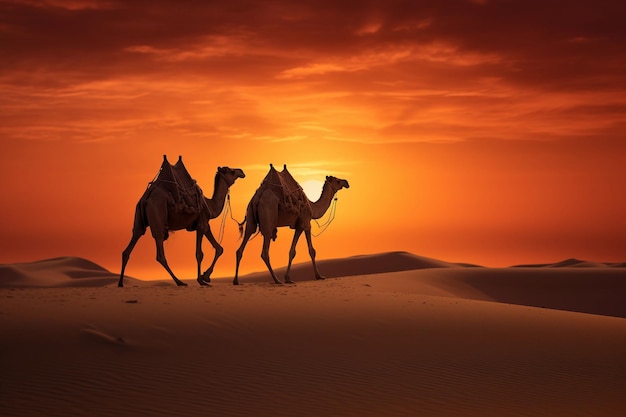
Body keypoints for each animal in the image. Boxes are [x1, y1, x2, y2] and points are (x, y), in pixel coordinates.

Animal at [118, 156, 245, 286]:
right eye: (231, 171)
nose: (241, 171)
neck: (210, 205)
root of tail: (146, 198)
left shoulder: (203, 225)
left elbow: (219, 248)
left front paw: (205, 276)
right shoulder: (202, 224)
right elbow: (200, 254)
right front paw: (202, 279)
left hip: (139, 218)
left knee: (131, 244)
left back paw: (121, 283)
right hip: (157, 218)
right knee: (160, 254)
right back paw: (179, 281)